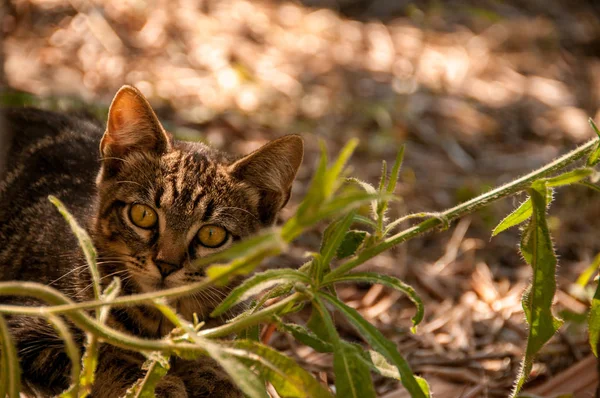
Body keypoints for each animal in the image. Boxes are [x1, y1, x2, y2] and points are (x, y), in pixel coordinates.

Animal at [0, 85, 302, 396]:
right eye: (142, 214)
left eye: (212, 235)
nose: (166, 265)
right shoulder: (26, 323)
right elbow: (101, 356)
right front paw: (156, 384)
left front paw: (216, 376)